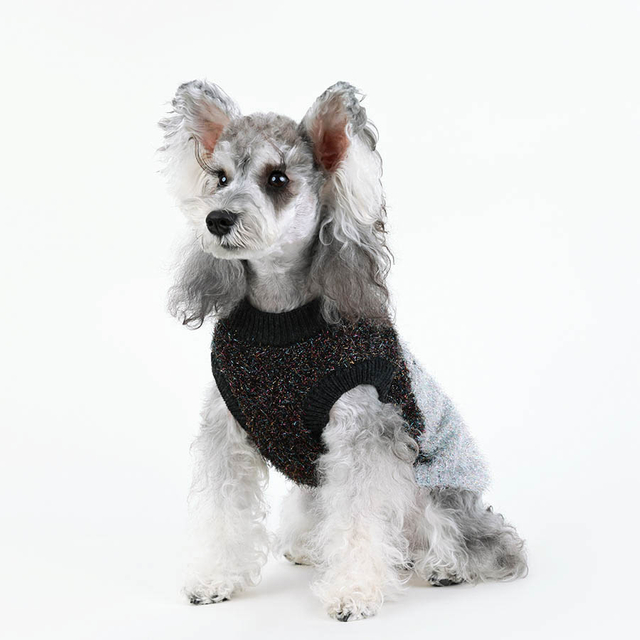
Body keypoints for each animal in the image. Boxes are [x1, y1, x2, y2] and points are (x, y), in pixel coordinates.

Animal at [158, 80, 527, 622]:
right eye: (219, 177)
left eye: (277, 177)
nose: (216, 218)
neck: (281, 317)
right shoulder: (227, 432)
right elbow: (226, 513)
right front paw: (215, 578)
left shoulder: (361, 433)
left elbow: (359, 521)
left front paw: (352, 593)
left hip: (436, 492)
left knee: (481, 542)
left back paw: (446, 567)